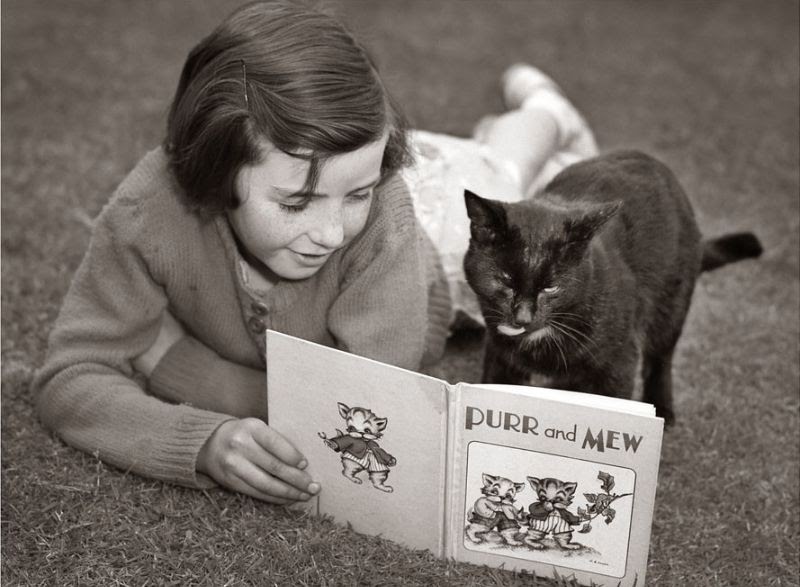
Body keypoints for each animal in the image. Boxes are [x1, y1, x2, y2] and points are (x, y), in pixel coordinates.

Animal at [462, 149, 764, 424]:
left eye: (551, 287)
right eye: (505, 280)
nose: (523, 317)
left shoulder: (619, 362)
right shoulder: (499, 354)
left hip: (672, 300)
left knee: (661, 357)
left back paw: (662, 408)